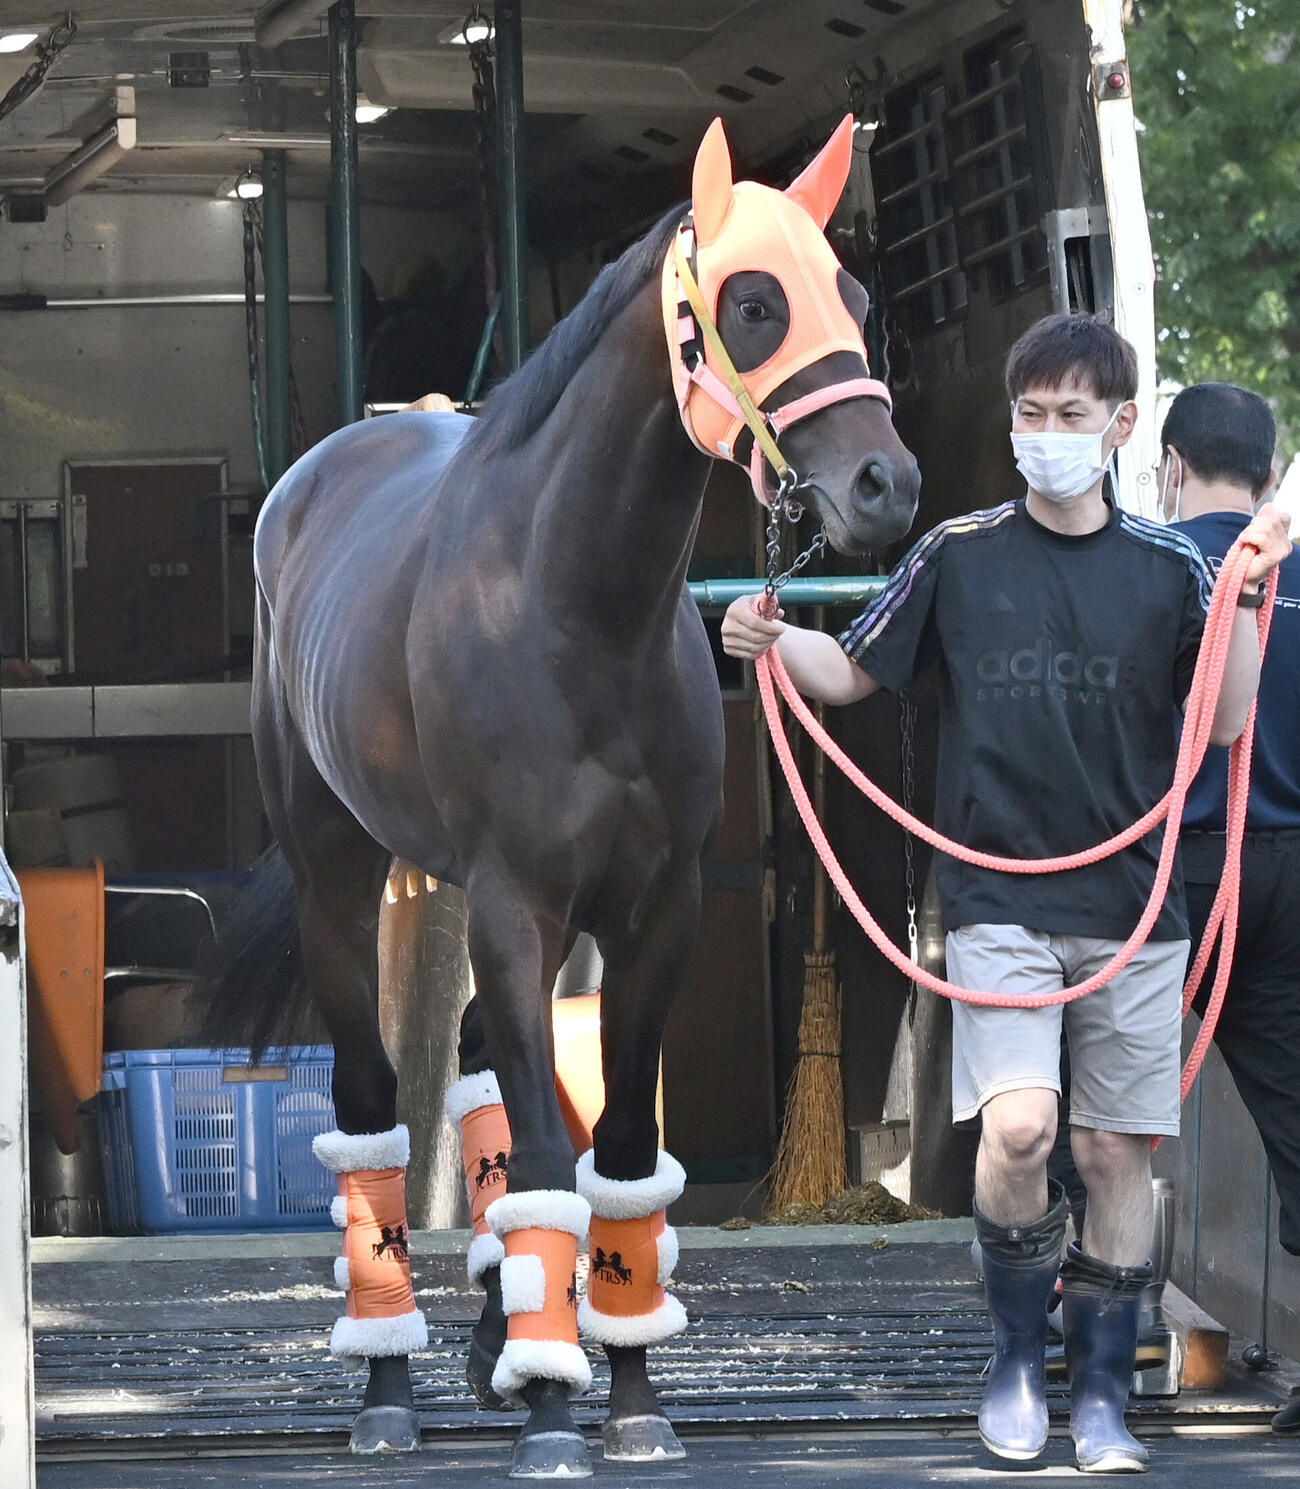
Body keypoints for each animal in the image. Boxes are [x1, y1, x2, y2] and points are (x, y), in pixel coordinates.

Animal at [203, 115, 919, 1480]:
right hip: (341, 879)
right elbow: (544, 1148)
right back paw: (388, 1383)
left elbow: (619, 1156)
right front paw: (549, 1411)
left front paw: (623, 1395)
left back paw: (503, 1334)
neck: (575, 607)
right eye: (752, 302)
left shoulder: (651, 913)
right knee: (374, 1113)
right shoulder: (514, 902)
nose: (885, 486)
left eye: (855, 299)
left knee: (487, 1069)